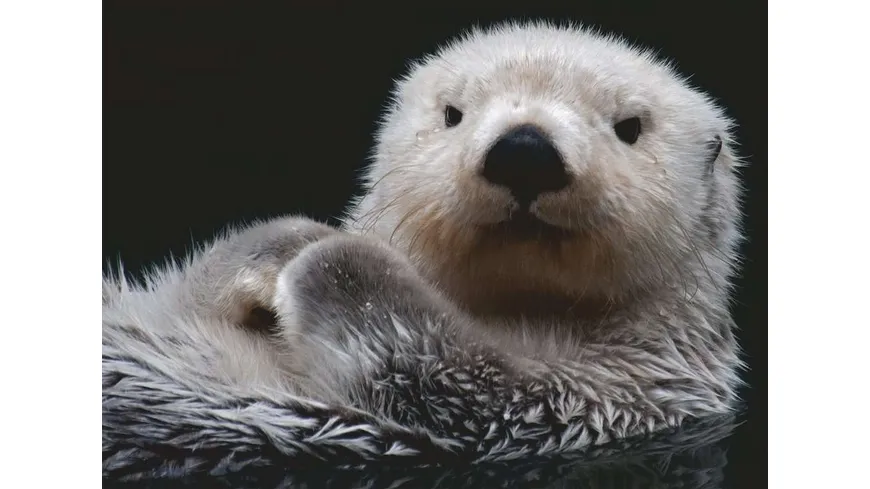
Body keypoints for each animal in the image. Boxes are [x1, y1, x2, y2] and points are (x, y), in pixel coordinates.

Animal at [102, 21, 745, 472]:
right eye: (453, 114)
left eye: (630, 127)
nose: (525, 151)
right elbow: (190, 289)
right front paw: (285, 245)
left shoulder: (601, 396)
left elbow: (442, 369)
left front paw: (329, 257)